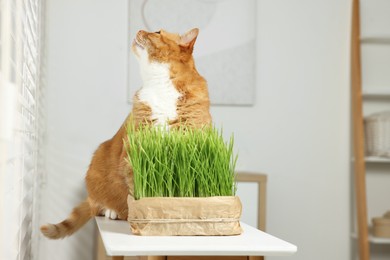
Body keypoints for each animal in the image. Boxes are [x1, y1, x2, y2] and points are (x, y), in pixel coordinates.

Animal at [40, 27, 212, 238]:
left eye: (157, 32)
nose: (139, 29)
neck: (160, 87)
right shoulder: (135, 151)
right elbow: (136, 188)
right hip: (99, 160)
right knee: (98, 203)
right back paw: (112, 211)